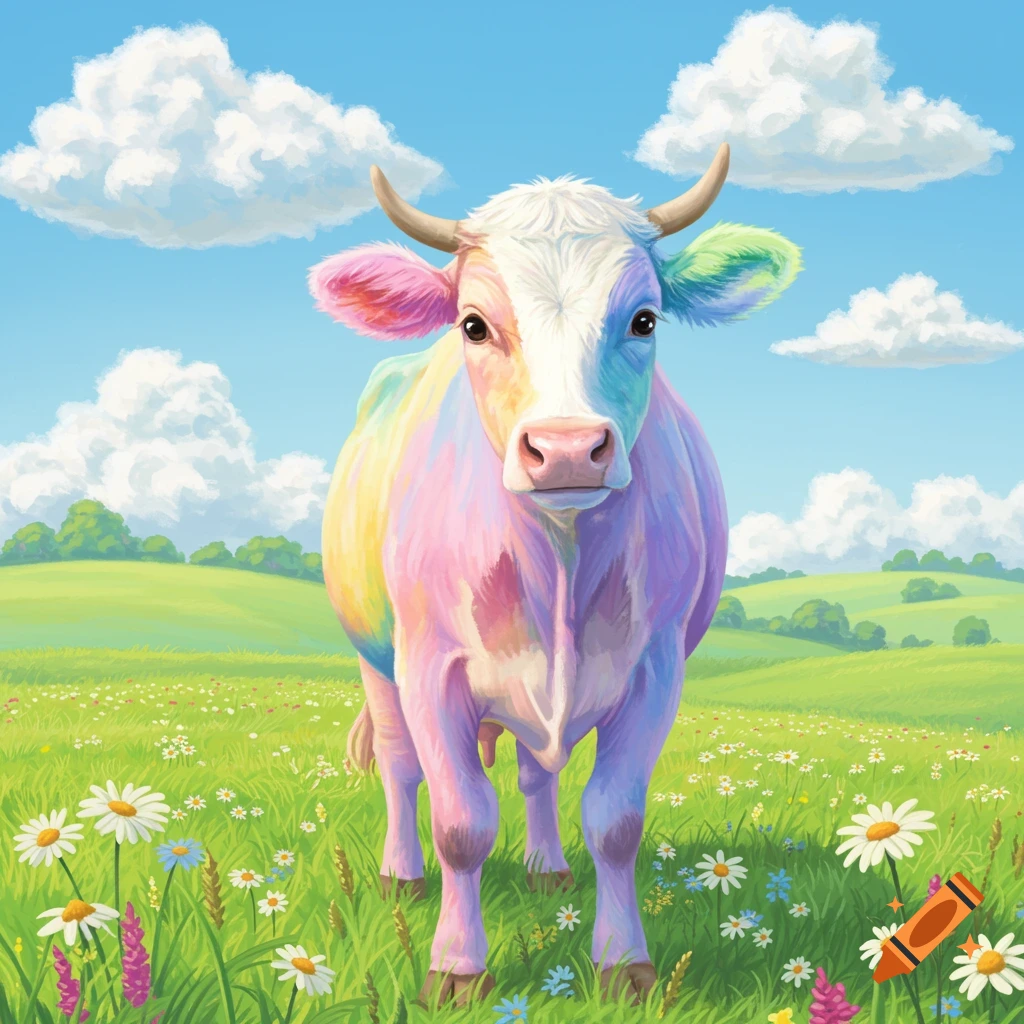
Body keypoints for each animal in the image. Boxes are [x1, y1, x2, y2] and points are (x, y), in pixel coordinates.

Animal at [310, 143, 800, 1006]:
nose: (568, 448)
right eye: (473, 324)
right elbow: (461, 823)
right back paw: (402, 877)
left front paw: (623, 964)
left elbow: (615, 821)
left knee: (537, 776)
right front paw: (457, 967)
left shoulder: (655, 668)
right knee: (402, 771)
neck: (561, 561)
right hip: (373, 654)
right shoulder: (429, 665)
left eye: (644, 319)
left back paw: (547, 869)